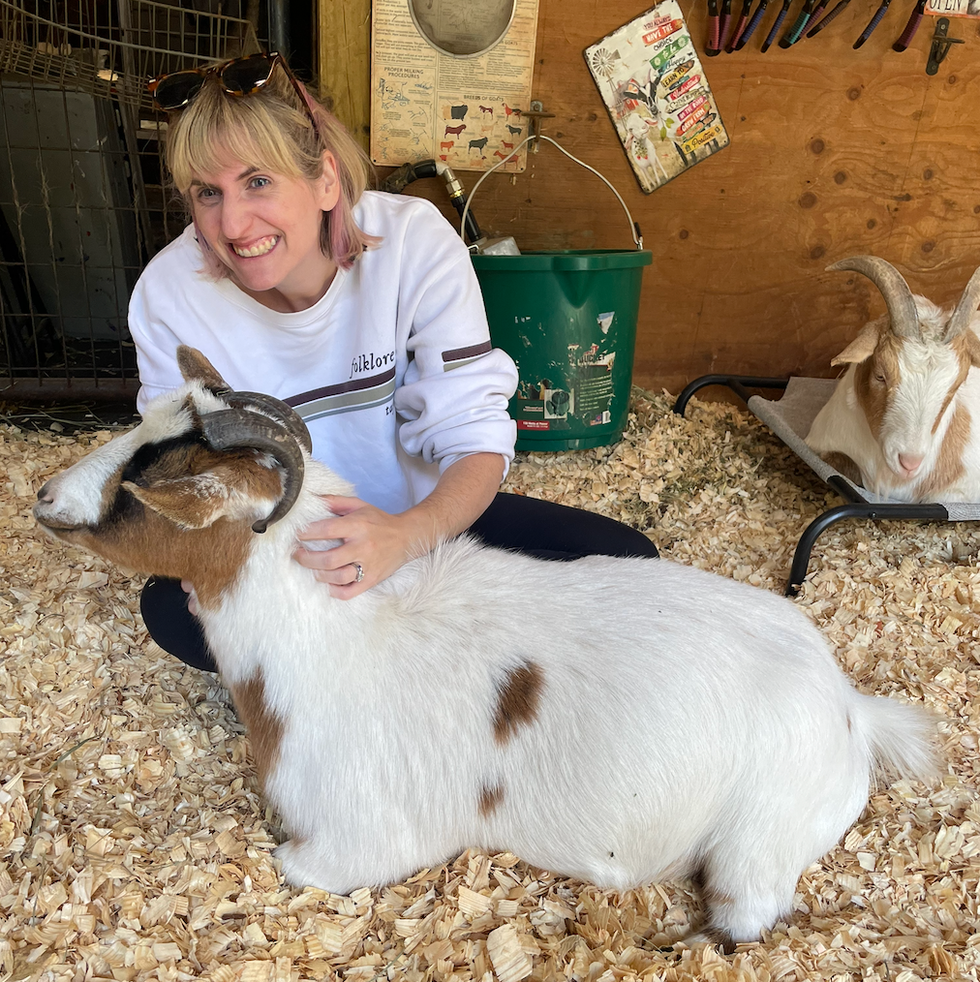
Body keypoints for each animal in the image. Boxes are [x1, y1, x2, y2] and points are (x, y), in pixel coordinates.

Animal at [33, 347, 939, 948]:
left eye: (145, 481)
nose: (43, 496)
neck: (337, 640)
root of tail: (849, 709)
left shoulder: (351, 844)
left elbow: (298, 865)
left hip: (757, 840)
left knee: (748, 916)